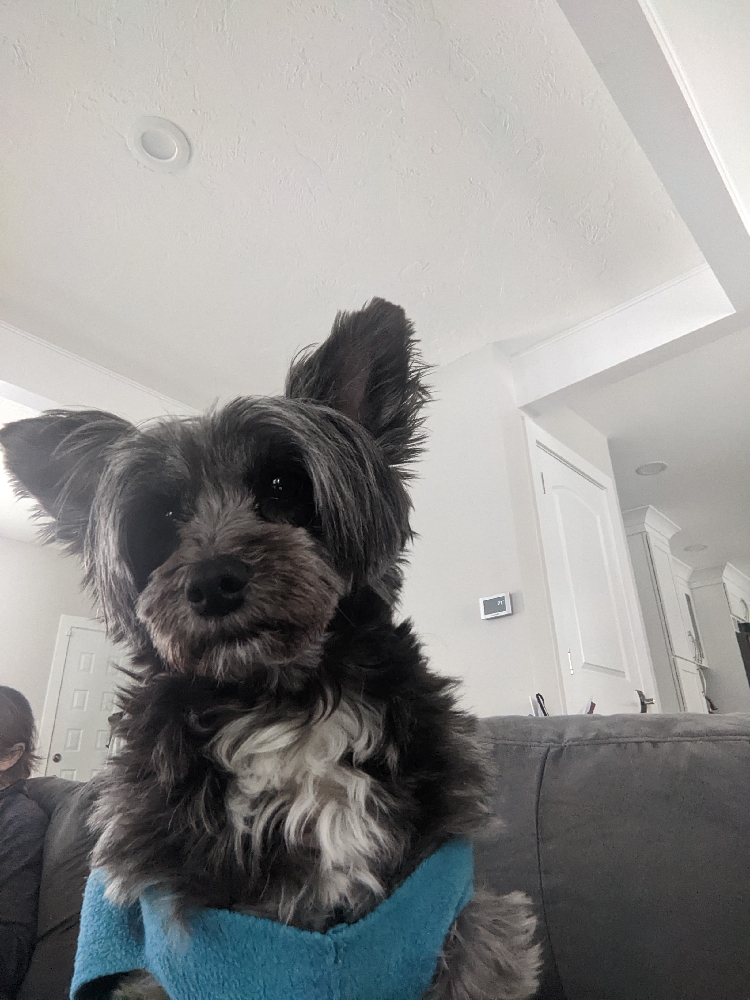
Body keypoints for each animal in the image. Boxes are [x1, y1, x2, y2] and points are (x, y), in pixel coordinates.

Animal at [1, 299, 540, 999]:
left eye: (283, 484)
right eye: (164, 517)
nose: (211, 581)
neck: (285, 702)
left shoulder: (460, 928)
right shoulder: (183, 967)